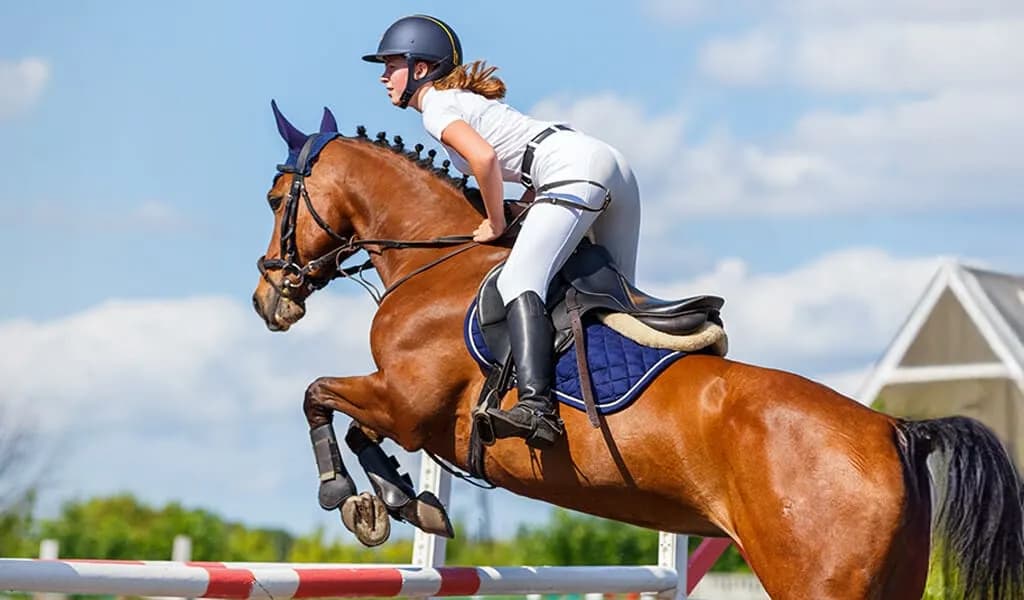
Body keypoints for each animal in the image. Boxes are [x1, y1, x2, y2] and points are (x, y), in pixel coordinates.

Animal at [251, 105, 1024, 599]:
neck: (435, 260)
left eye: (276, 198)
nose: (268, 299)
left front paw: (351, 496)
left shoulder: (410, 403)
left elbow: (319, 395)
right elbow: (355, 423)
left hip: (816, 581)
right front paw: (401, 503)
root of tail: (897, 428)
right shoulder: (409, 410)